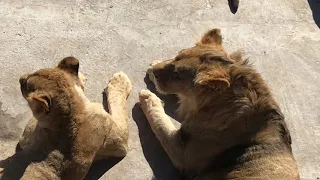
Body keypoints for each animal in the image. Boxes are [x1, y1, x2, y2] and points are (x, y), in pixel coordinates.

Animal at [140, 28, 300, 179]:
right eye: (177, 56)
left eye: (177, 74)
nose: (155, 72)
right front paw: (153, 67)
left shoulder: (182, 153)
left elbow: (160, 123)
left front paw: (148, 97)